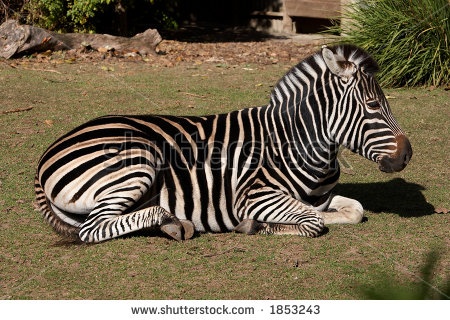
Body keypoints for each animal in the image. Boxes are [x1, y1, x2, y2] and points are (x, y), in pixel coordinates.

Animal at [36, 43, 412, 242]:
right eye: (373, 105)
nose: (407, 155)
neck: (295, 142)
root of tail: (46, 155)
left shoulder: (318, 197)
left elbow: (353, 210)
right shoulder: (253, 195)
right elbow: (312, 222)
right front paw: (256, 224)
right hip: (137, 161)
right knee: (93, 228)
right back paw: (172, 221)